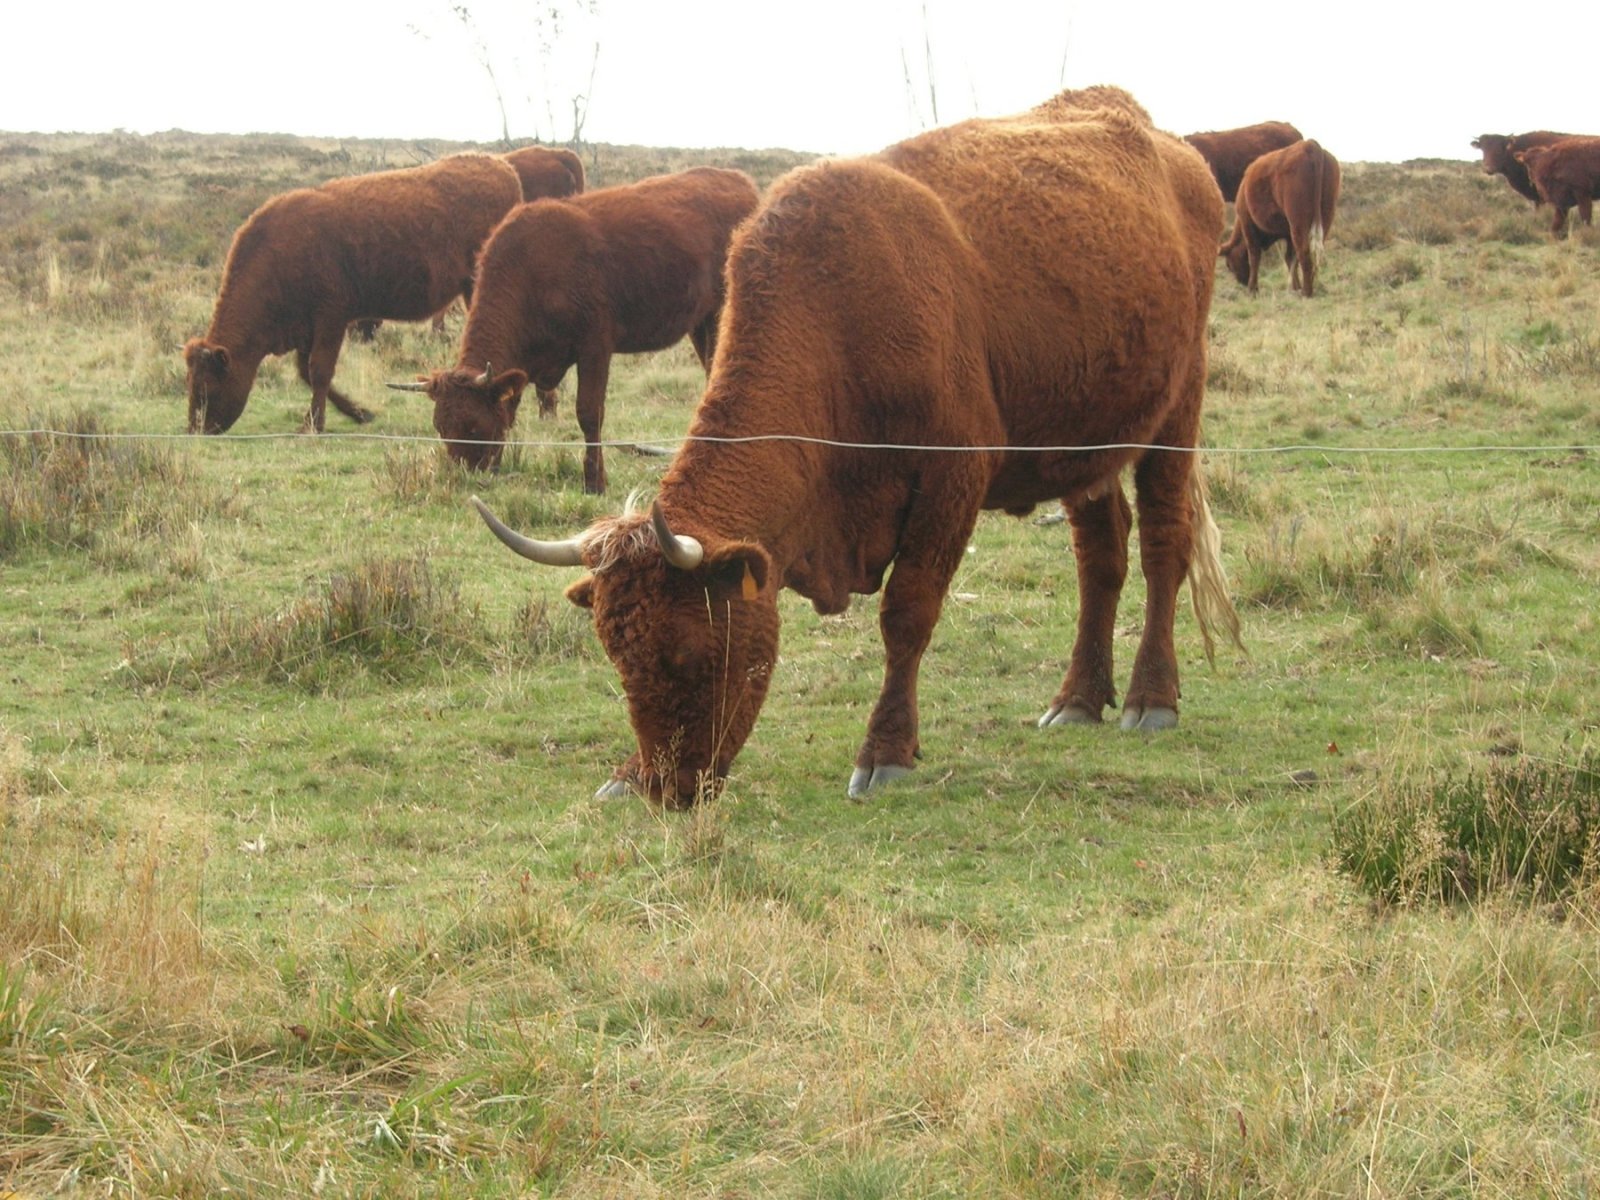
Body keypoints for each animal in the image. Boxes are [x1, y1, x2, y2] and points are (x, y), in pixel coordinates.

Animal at [184, 152, 518, 438]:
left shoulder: (331, 320)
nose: (196, 429)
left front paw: (312, 425)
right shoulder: (306, 330)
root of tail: (503, 168)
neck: (280, 254)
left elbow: (319, 371)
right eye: (189, 383)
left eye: (207, 388)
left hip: (475, 286)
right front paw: (360, 413)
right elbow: (307, 374)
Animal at [390, 164, 758, 492]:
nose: (463, 478)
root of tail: (739, 183)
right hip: (700, 322)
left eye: (472, 426)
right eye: (440, 426)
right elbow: (512, 408)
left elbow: (589, 414)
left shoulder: (595, 348)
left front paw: (594, 482)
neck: (532, 271)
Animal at [467, 84, 1241, 809]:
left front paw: (886, 751)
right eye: (618, 657)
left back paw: (1150, 698)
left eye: (688, 651)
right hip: (1089, 441)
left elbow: (907, 614)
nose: (663, 786)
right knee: (1100, 557)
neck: (837, 318)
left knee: (1163, 546)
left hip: (1175, 418)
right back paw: (1078, 697)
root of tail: (1178, 156)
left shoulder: (951, 485)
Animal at [1222, 140, 1337, 299]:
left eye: (1228, 265)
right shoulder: (1288, 233)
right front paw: (1295, 286)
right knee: (1314, 254)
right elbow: (1290, 258)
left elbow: (1254, 256)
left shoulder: (1248, 223)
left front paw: (1253, 289)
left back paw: (1306, 292)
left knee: (1304, 252)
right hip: (1324, 217)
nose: (1243, 282)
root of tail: (1309, 144)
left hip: (1298, 221)